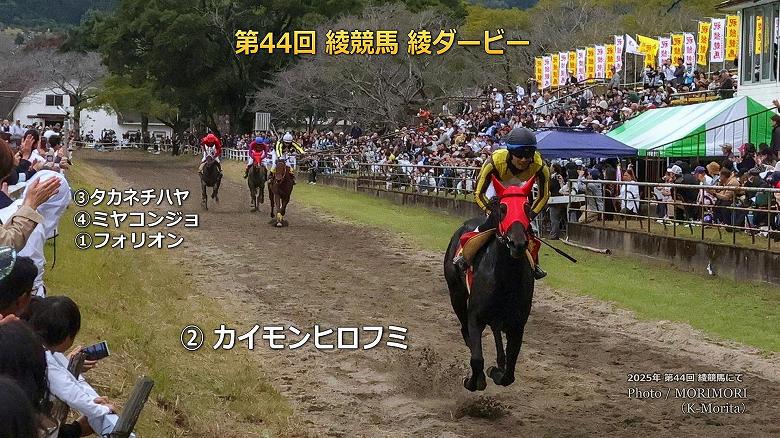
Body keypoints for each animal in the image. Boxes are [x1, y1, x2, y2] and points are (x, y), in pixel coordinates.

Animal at [443, 175, 536, 391]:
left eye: (527, 207)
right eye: (502, 208)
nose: (517, 243)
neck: (504, 279)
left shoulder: (517, 325)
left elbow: (509, 373)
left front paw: (496, 370)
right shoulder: (475, 316)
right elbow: (477, 359)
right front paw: (474, 380)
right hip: (456, 294)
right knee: (465, 330)